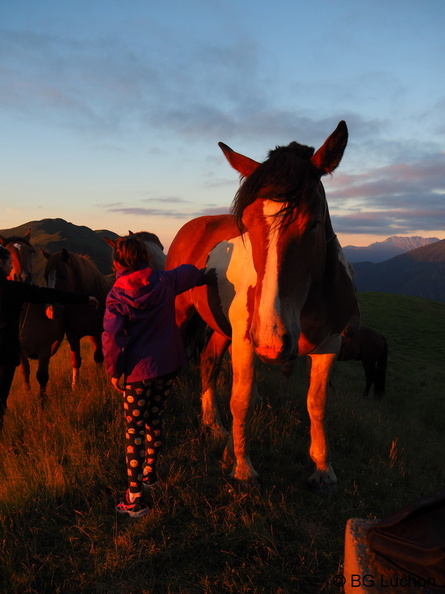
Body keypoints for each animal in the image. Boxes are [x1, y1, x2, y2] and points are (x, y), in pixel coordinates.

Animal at [0, 230, 65, 398]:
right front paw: (28, 395)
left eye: (30, 251)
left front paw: (43, 402)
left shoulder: (44, 350)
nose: (22, 277)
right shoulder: (21, 352)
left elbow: (42, 376)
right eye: (8, 251)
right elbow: (25, 373)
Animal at [42, 247, 112, 386]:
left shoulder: (98, 333)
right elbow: (76, 360)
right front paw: (75, 386)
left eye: (63, 276)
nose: (51, 311)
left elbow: (99, 356)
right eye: (46, 277)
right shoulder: (73, 335)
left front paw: (101, 379)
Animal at [166, 121, 358, 490]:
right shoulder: (246, 340)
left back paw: (214, 425)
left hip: (221, 330)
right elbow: (241, 400)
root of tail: (192, 226)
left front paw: (322, 466)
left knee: (208, 362)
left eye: (313, 223)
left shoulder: (330, 344)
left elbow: (317, 404)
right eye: (248, 223)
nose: (272, 340)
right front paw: (242, 467)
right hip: (184, 314)